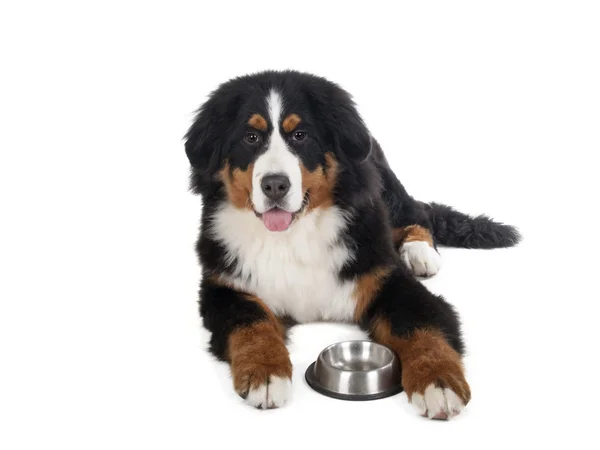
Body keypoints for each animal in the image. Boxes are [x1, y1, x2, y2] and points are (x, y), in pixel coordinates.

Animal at [184, 69, 520, 418]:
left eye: (300, 135)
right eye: (250, 138)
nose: (275, 184)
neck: (292, 236)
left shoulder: (386, 279)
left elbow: (421, 326)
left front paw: (438, 381)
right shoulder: (225, 287)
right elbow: (251, 324)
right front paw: (265, 372)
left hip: (386, 185)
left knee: (418, 212)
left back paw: (419, 252)